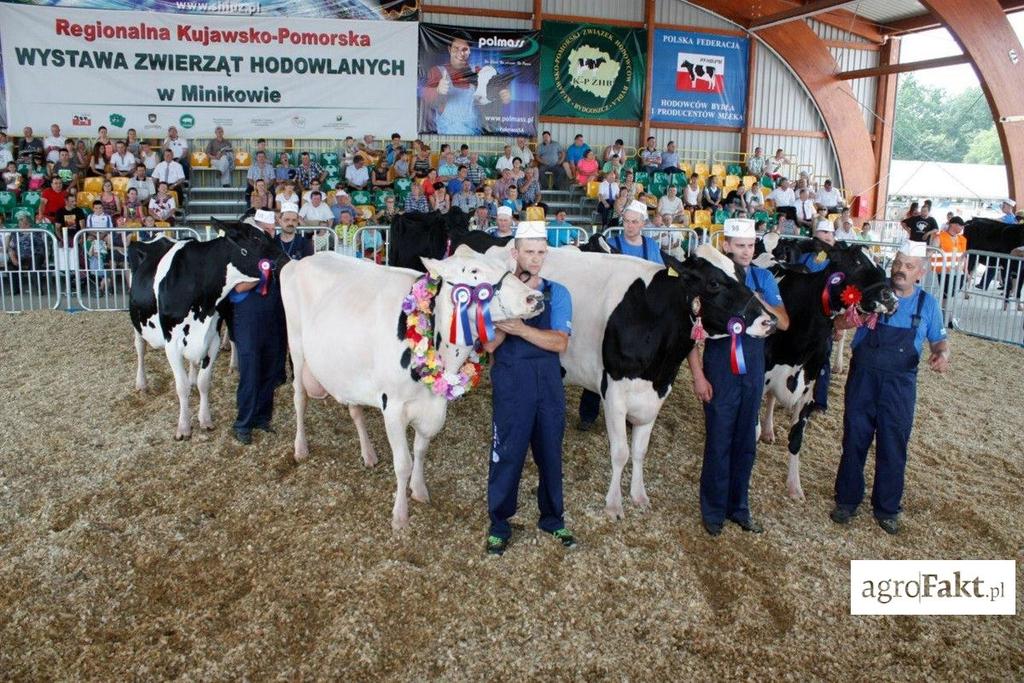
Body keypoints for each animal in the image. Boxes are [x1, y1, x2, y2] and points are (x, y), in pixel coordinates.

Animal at [129, 220, 288, 444]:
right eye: (256, 238)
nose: (286, 260)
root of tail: (158, 236)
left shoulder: (212, 339)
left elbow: (204, 383)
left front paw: (205, 419)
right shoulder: (172, 344)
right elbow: (181, 387)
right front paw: (184, 427)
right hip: (137, 322)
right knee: (140, 349)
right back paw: (141, 383)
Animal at [276, 242, 540, 532]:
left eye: (507, 267)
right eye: (473, 271)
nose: (535, 298)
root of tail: (301, 260)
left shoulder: (434, 406)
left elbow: (421, 451)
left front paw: (420, 490)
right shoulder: (393, 407)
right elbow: (403, 463)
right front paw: (399, 516)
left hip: (346, 370)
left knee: (355, 410)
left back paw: (368, 454)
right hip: (296, 348)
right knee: (299, 399)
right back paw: (300, 448)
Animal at [753, 237, 897, 499]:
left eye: (880, 264)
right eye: (855, 262)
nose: (891, 299)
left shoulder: (807, 388)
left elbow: (796, 437)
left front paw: (795, 487)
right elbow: (751, 430)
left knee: (772, 400)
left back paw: (770, 431)